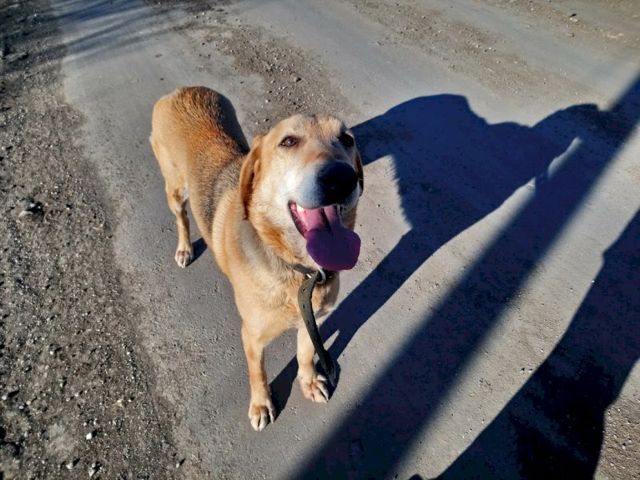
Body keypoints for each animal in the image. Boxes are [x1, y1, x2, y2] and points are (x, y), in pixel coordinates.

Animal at [150, 86, 363, 431]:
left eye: (346, 139)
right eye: (288, 141)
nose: (341, 178)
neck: (297, 271)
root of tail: (181, 90)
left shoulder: (314, 319)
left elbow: (305, 352)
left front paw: (309, 381)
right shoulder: (252, 335)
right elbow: (258, 373)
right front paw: (261, 404)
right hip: (175, 188)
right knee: (181, 218)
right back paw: (184, 248)